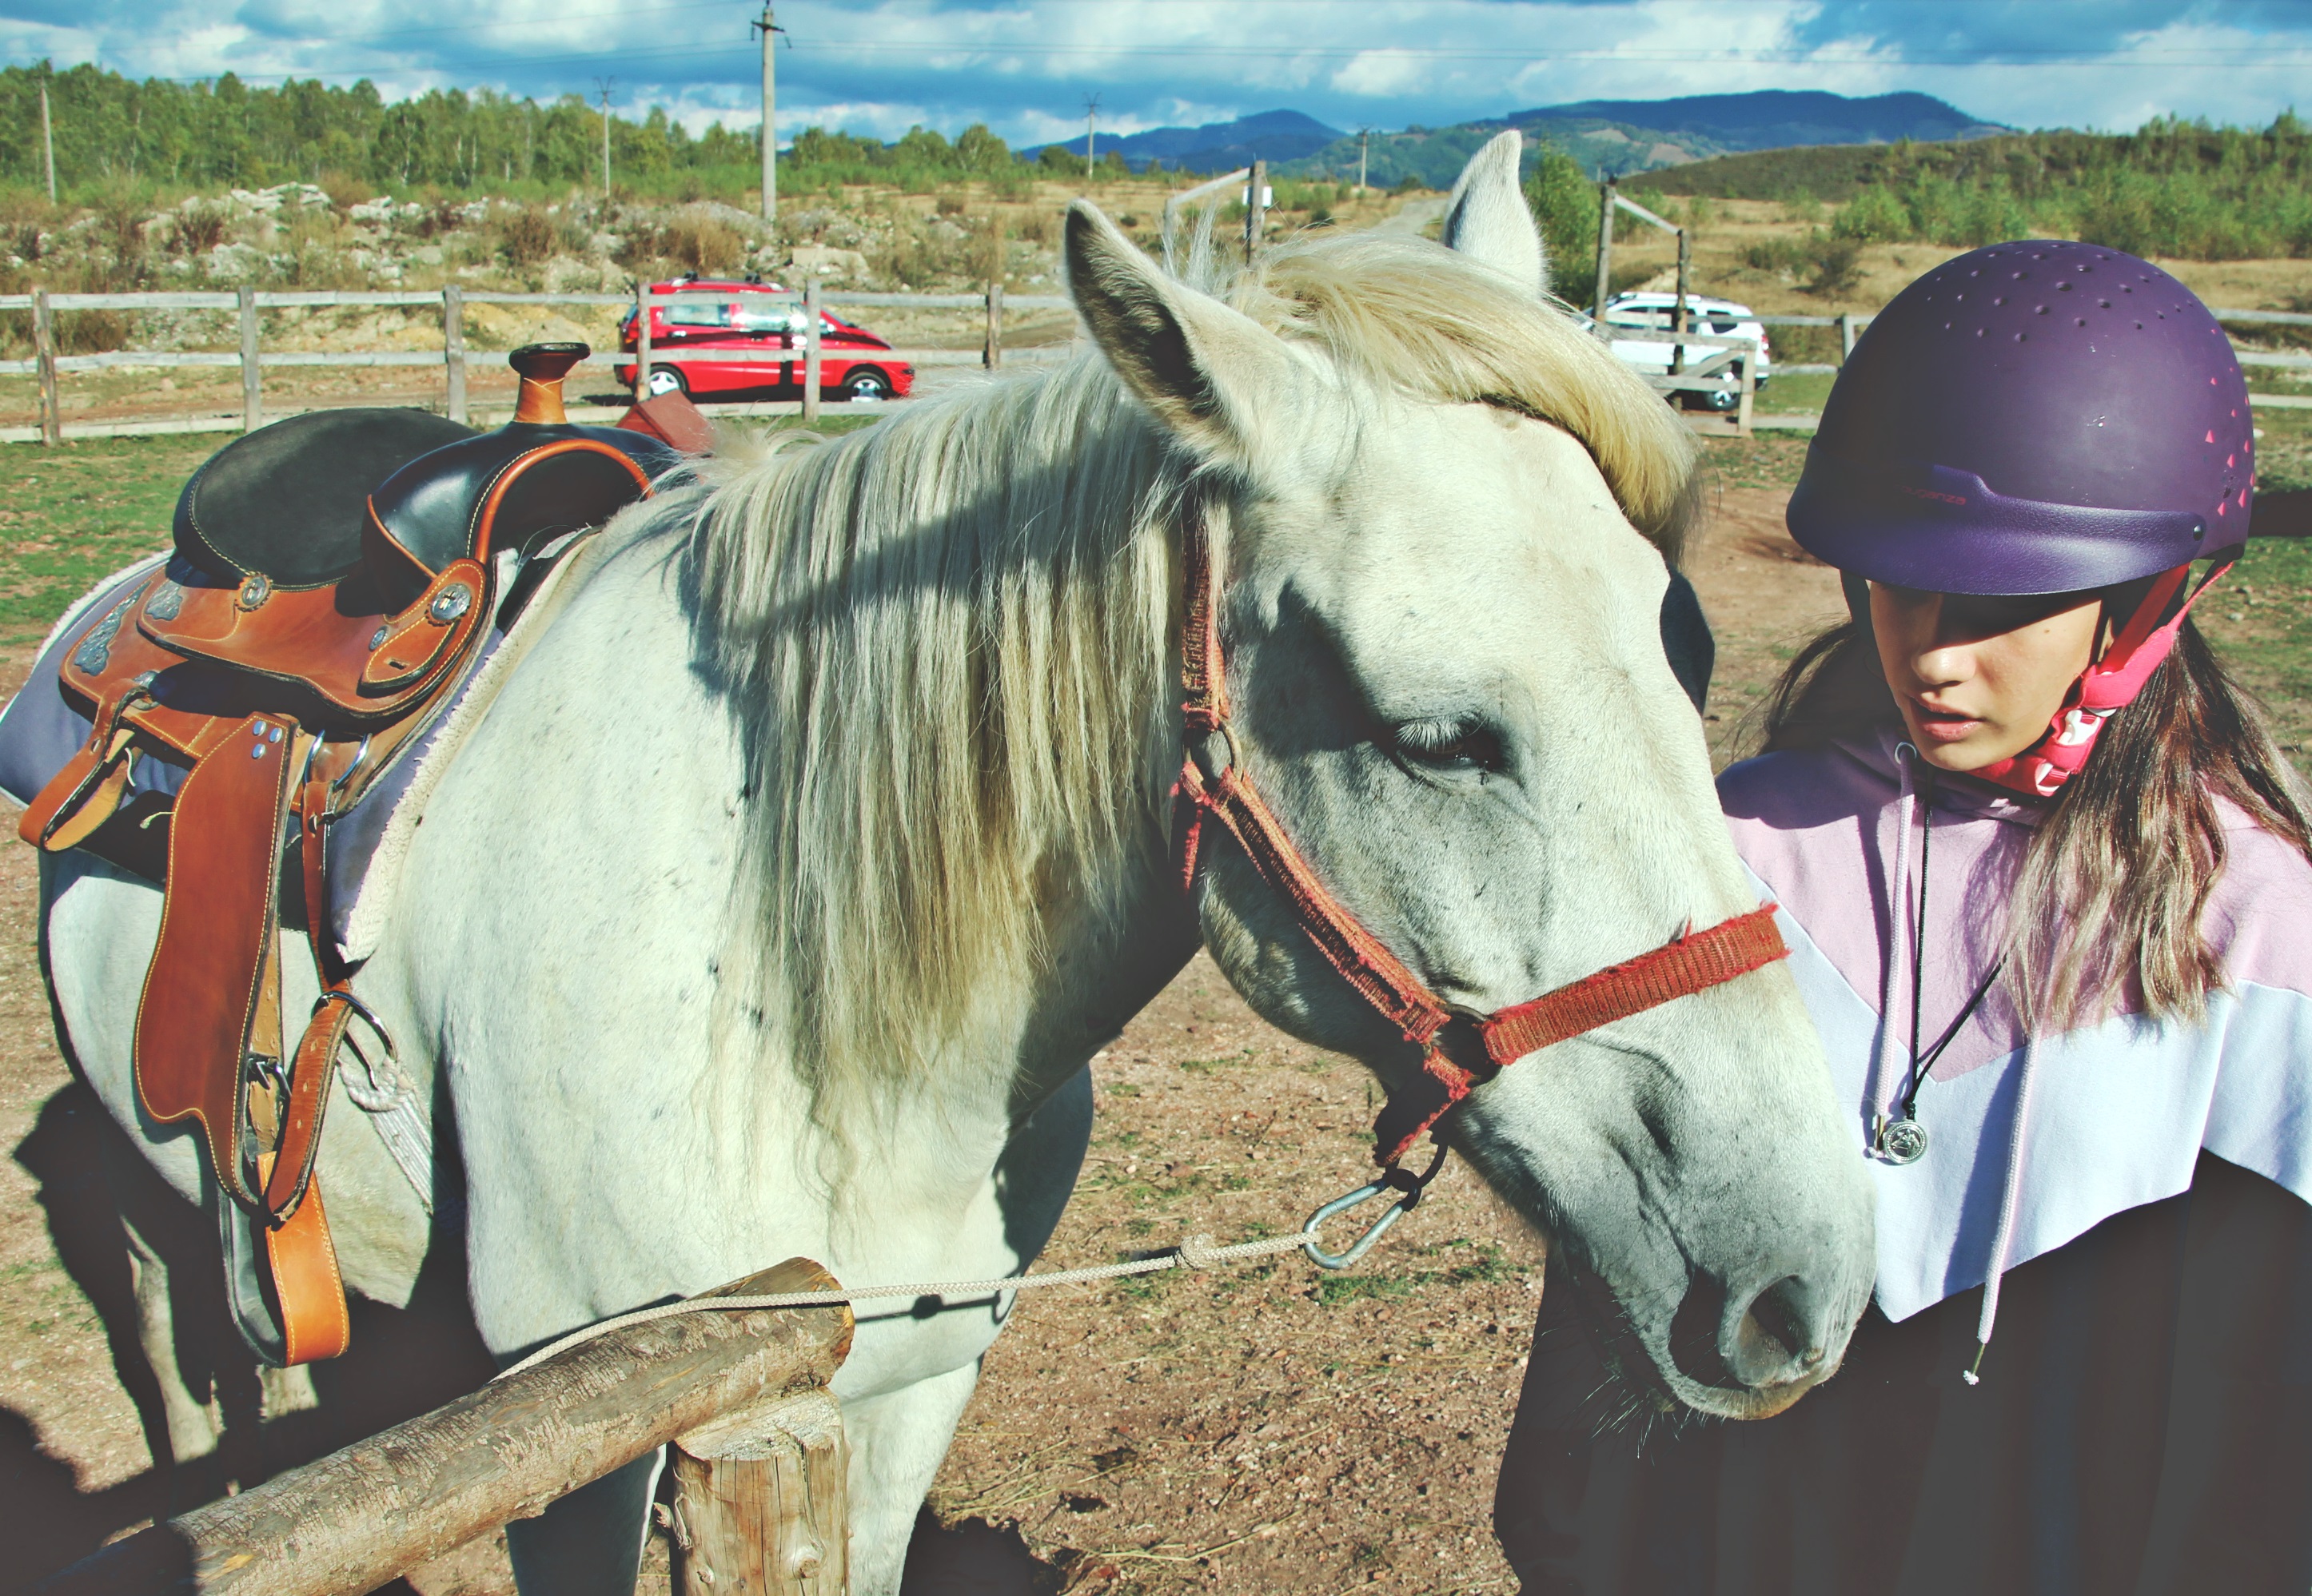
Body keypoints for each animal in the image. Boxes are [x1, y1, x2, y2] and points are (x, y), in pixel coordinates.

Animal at [34, 135, 1873, 1593]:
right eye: (1433, 736)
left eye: (1685, 648)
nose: (1805, 1285)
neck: (779, 991)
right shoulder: (589, 1444)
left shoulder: (905, 1386)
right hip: (159, 1194)